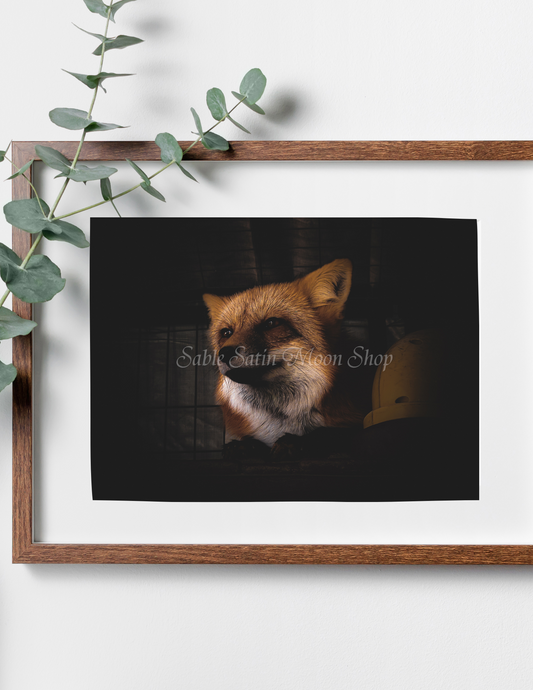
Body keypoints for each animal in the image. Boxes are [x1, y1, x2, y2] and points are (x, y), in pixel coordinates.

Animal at [203, 259, 367, 449]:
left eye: (271, 323)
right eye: (226, 332)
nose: (225, 353)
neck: (281, 424)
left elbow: (327, 433)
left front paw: (294, 442)